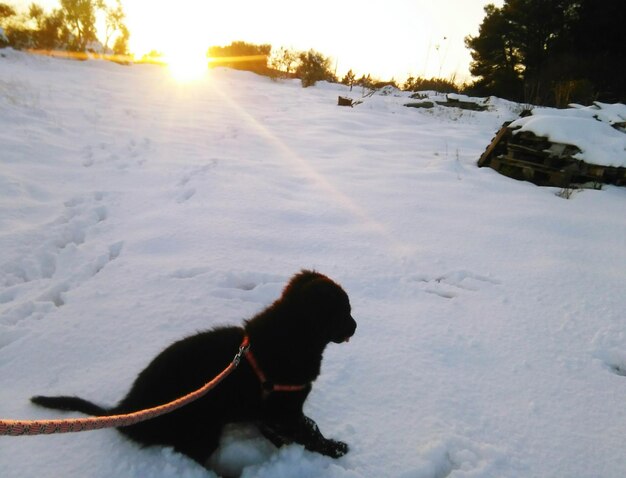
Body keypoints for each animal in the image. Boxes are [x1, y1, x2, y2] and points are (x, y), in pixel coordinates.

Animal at [31, 270, 356, 468]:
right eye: (344, 312)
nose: (356, 325)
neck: (292, 337)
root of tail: (128, 408)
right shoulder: (284, 409)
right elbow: (309, 431)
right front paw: (335, 449)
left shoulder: (272, 412)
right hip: (202, 427)